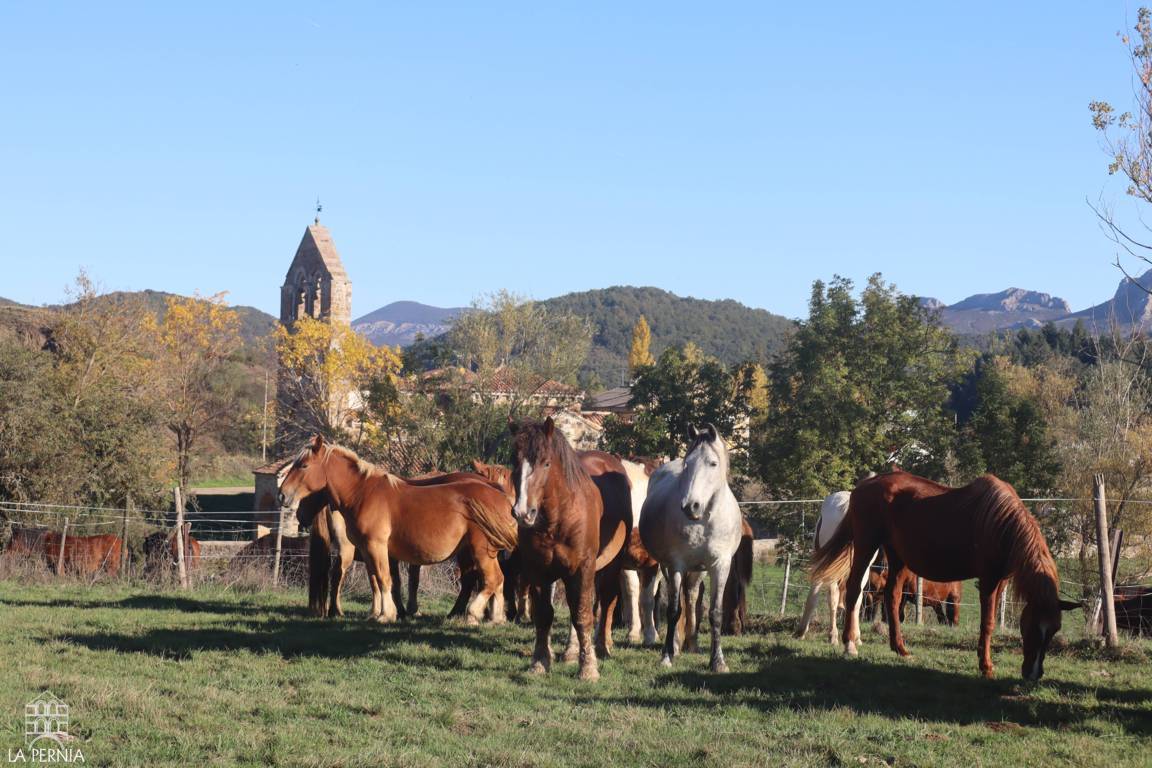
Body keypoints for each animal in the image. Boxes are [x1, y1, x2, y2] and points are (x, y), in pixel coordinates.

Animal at [279, 435, 518, 624]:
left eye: (303, 466)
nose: (282, 494)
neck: (363, 493)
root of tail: (501, 496)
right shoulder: (367, 550)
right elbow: (376, 580)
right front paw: (377, 613)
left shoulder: (376, 546)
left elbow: (384, 579)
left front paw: (387, 614)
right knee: (498, 581)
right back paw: (496, 618)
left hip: (480, 551)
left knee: (492, 579)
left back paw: (472, 614)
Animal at [510, 417, 632, 681]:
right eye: (514, 461)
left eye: (546, 462)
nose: (523, 513)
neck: (558, 517)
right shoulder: (539, 570)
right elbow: (545, 615)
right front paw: (540, 662)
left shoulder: (582, 567)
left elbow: (583, 615)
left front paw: (588, 669)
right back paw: (570, 652)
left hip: (610, 564)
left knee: (606, 601)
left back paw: (602, 647)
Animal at [639, 424, 743, 673]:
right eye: (688, 464)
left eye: (712, 463)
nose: (690, 506)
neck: (704, 519)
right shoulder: (676, 565)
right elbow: (673, 610)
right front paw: (667, 656)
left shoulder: (720, 566)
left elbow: (715, 612)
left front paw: (718, 661)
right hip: (667, 567)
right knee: (677, 602)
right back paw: (676, 646)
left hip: (699, 569)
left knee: (692, 595)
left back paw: (692, 644)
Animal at [795, 491, 878, 644]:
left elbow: (813, 596)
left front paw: (802, 631)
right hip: (862, 568)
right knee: (856, 598)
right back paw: (855, 637)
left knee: (832, 597)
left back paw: (833, 635)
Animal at [811, 470, 1078, 680]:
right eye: (1031, 627)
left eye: (1054, 630)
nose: (1033, 675)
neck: (1001, 523)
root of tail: (862, 486)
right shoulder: (988, 580)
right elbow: (987, 622)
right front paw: (986, 666)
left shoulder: (1000, 581)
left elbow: (989, 620)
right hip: (867, 545)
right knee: (854, 590)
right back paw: (849, 644)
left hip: (896, 557)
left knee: (892, 596)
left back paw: (900, 649)